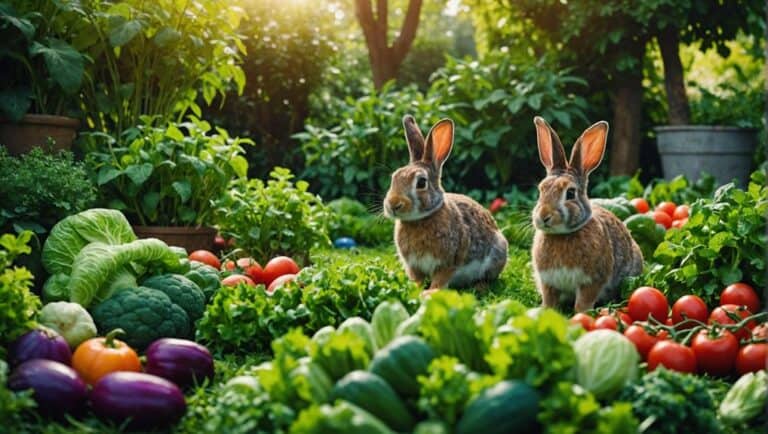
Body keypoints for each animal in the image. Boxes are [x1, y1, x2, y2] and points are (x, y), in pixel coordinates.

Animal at [382, 115, 508, 290]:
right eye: (394, 177)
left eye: (421, 183)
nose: (393, 205)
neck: (420, 219)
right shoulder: (413, 265)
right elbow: (417, 278)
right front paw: (414, 289)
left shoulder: (449, 262)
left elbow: (440, 280)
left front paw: (429, 292)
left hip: (498, 251)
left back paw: (479, 287)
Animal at [531, 116, 643, 312]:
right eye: (541, 190)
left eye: (570, 193)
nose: (544, 216)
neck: (562, 235)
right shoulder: (548, 282)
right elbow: (549, 300)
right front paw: (545, 311)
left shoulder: (592, 281)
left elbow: (583, 302)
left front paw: (582, 314)